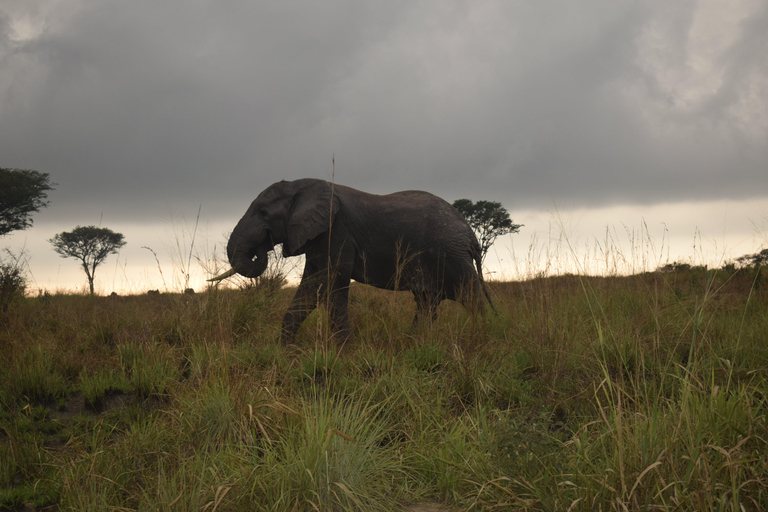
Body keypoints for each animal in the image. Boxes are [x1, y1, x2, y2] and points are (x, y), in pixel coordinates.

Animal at [212, 179, 492, 344]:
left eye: (263, 212)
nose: (263, 246)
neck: (302, 187)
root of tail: (470, 234)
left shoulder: (336, 232)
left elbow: (333, 284)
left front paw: (342, 352)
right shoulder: (317, 239)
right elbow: (310, 288)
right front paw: (286, 350)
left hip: (452, 256)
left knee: (470, 297)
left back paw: (480, 340)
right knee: (427, 302)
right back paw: (412, 342)